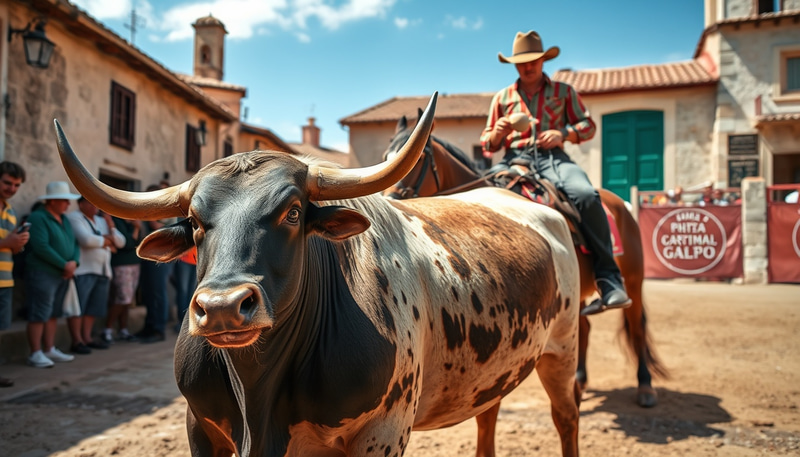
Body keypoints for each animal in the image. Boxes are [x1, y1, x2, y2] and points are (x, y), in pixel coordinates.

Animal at [53, 93, 581, 457]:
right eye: (196, 222)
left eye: (292, 212)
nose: (223, 308)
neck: (258, 396)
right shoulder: (200, 427)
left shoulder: (382, 433)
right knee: (488, 414)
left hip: (564, 346)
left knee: (566, 416)